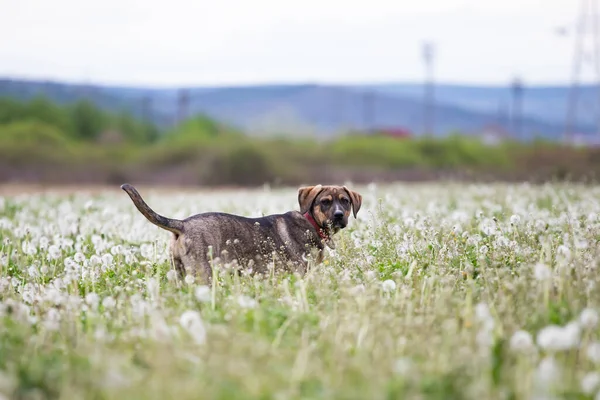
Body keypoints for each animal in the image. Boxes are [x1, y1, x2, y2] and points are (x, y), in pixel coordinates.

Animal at [119, 184, 358, 282]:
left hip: (179, 272)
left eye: (345, 201)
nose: (339, 215)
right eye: (325, 202)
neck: (311, 222)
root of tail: (182, 224)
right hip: (202, 273)